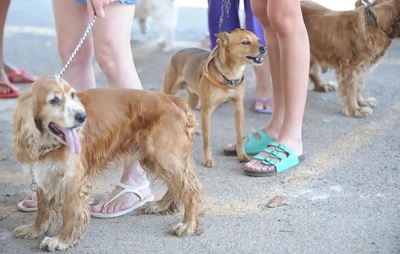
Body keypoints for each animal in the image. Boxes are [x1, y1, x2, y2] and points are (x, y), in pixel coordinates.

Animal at [12, 76, 203, 251]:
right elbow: (43, 209)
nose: (82, 117)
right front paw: (35, 229)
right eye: (54, 100)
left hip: (164, 156)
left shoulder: (73, 179)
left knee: (191, 189)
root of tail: (174, 99)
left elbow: (70, 211)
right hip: (156, 158)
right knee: (177, 185)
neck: (49, 142)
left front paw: (62, 239)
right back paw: (161, 205)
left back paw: (188, 225)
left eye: (72, 95)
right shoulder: (45, 174)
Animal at [162, 28, 266, 167]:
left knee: (188, 111)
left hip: (194, 99)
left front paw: (242, 154)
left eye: (258, 40)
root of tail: (177, 53)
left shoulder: (238, 108)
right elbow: (207, 139)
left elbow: (239, 135)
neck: (231, 75)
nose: (264, 48)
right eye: (245, 42)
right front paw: (207, 159)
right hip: (170, 93)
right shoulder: (206, 111)